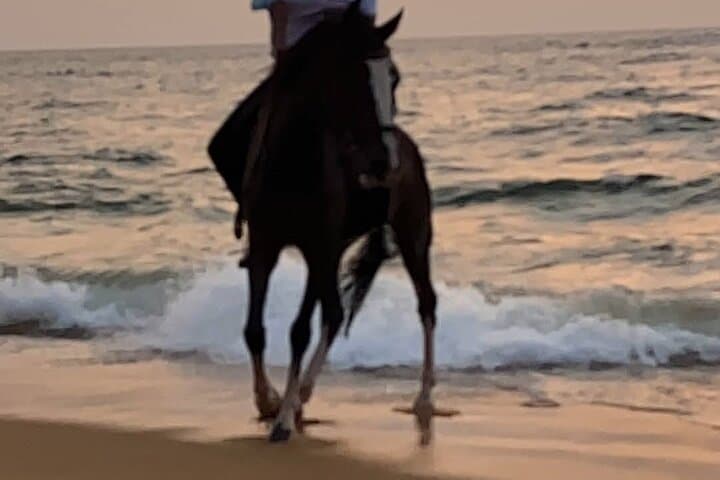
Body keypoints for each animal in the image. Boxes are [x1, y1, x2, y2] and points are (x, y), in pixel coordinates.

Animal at [210, 2, 440, 445]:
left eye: (394, 77)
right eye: (354, 76)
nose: (384, 164)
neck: (293, 159)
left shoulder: (317, 245)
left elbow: (298, 330)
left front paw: (282, 419)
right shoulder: (266, 245)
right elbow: (254, 330)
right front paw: (268, 401)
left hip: (411, 236)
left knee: (426, 304)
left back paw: (423, 398)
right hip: (335, 250)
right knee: (333, 314)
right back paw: (302, 396)